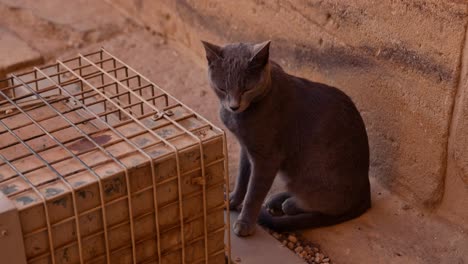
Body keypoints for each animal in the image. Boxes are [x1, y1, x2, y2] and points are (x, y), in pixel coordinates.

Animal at [203, 40, 372, 236]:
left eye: (247, 89)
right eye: (222, 88)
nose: (233, 106)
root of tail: (366, 195)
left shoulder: (267, 158)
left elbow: (254, 193)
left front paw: (244, 224)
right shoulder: (246, 149)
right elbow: (242, 179)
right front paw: (232, 200)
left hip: (314, 172)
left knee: (321, 205)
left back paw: (288, 203)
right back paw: (278, 199)